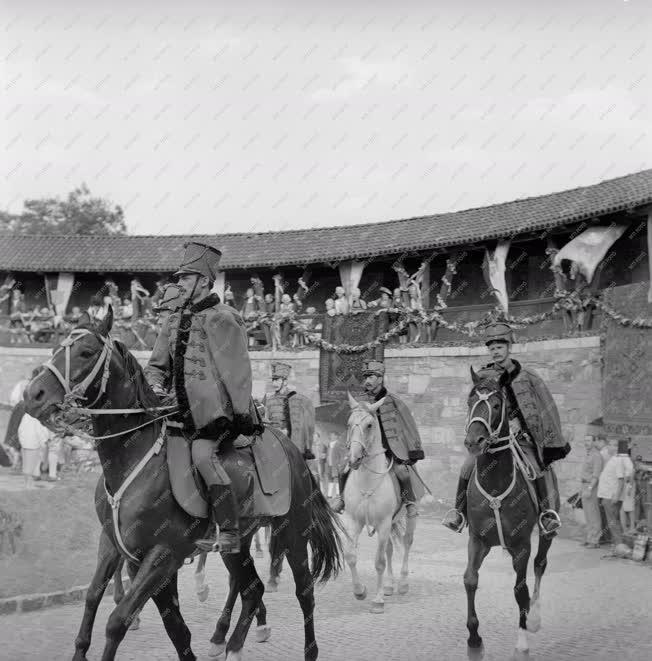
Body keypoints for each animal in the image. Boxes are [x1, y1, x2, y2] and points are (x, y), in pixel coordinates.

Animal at [22, 306, 344, 656]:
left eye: (86, 352)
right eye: (56, 347)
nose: (32, 394)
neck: (135, 459)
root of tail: (292, 448)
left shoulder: (163, 555)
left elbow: (119, 620)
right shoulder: (117, 547)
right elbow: (122, 607)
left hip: (294, 532)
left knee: (304, 591)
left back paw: (306, 649)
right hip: (238, 544)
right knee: (250, 588)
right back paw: (229, 642)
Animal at [342, 392, 418, 612]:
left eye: (369, 425)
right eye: (348, 423)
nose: (353, 459)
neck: (368, 481)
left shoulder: (383, 523)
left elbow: (379, 562)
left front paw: (377, 601)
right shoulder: (354, 521)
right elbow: (351, 555)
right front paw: (360, 591)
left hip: (408, 517)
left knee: (407, 543)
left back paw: (402, 583)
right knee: (391, 549)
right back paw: (389, 586)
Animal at [460, 366, 556, 656]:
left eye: (496, 404)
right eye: (470, 402)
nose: (474, 441)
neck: (495, 481)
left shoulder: (521, 544)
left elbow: (520, 589)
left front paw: (522, 640)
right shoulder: (477, 540)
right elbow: (470, 580)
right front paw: (474, 639)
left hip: (546, 532)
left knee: (540, 564)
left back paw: (535, 616)